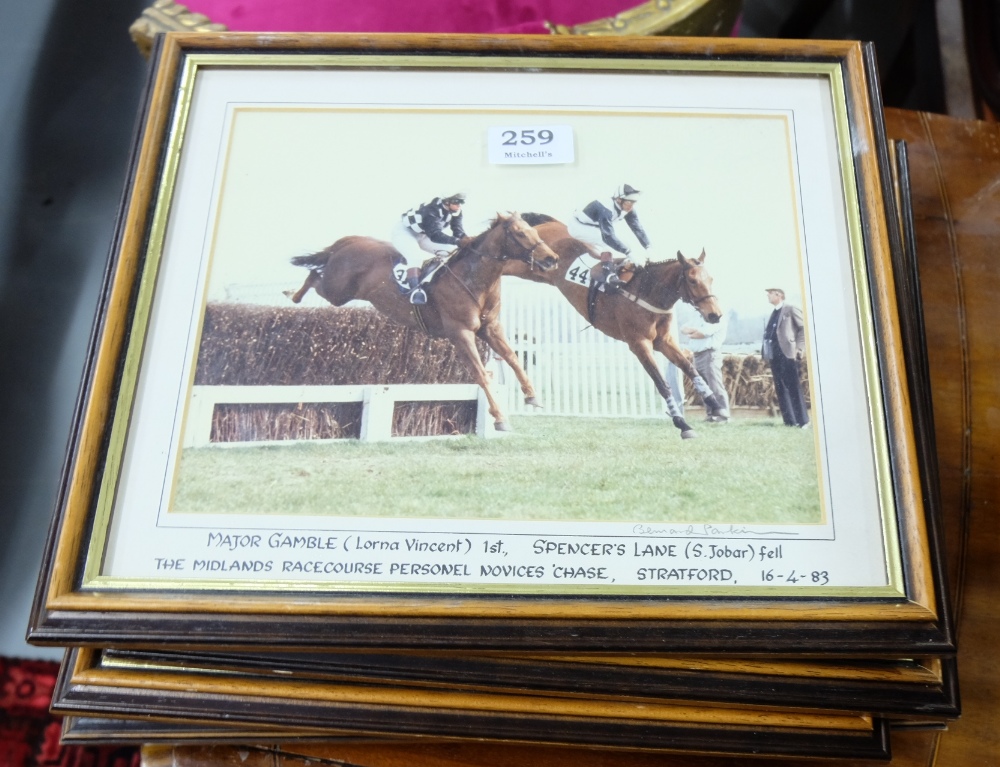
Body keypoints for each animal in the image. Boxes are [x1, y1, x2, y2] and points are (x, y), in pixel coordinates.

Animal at [286, 213, 560, 436]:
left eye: (535, 231)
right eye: (520, 233)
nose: (552, 258)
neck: (473, 278)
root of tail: (349, 241)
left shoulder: (490, 327)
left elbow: (513, 358)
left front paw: (532, 396)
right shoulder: (460, 332)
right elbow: (482, 374)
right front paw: (501, 418)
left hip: (339, 291)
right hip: (337, 290)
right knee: (315, 275)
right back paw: (292, 294)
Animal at [512, 216, 724, 444]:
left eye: (711, 279)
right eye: (692, 280)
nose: (715, 315)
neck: (649, 292)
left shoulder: (664, 341)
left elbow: (689, 368)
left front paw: (716, 405)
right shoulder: (639, 344)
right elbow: (662, 383)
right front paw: (682, 423)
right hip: (523, 266)